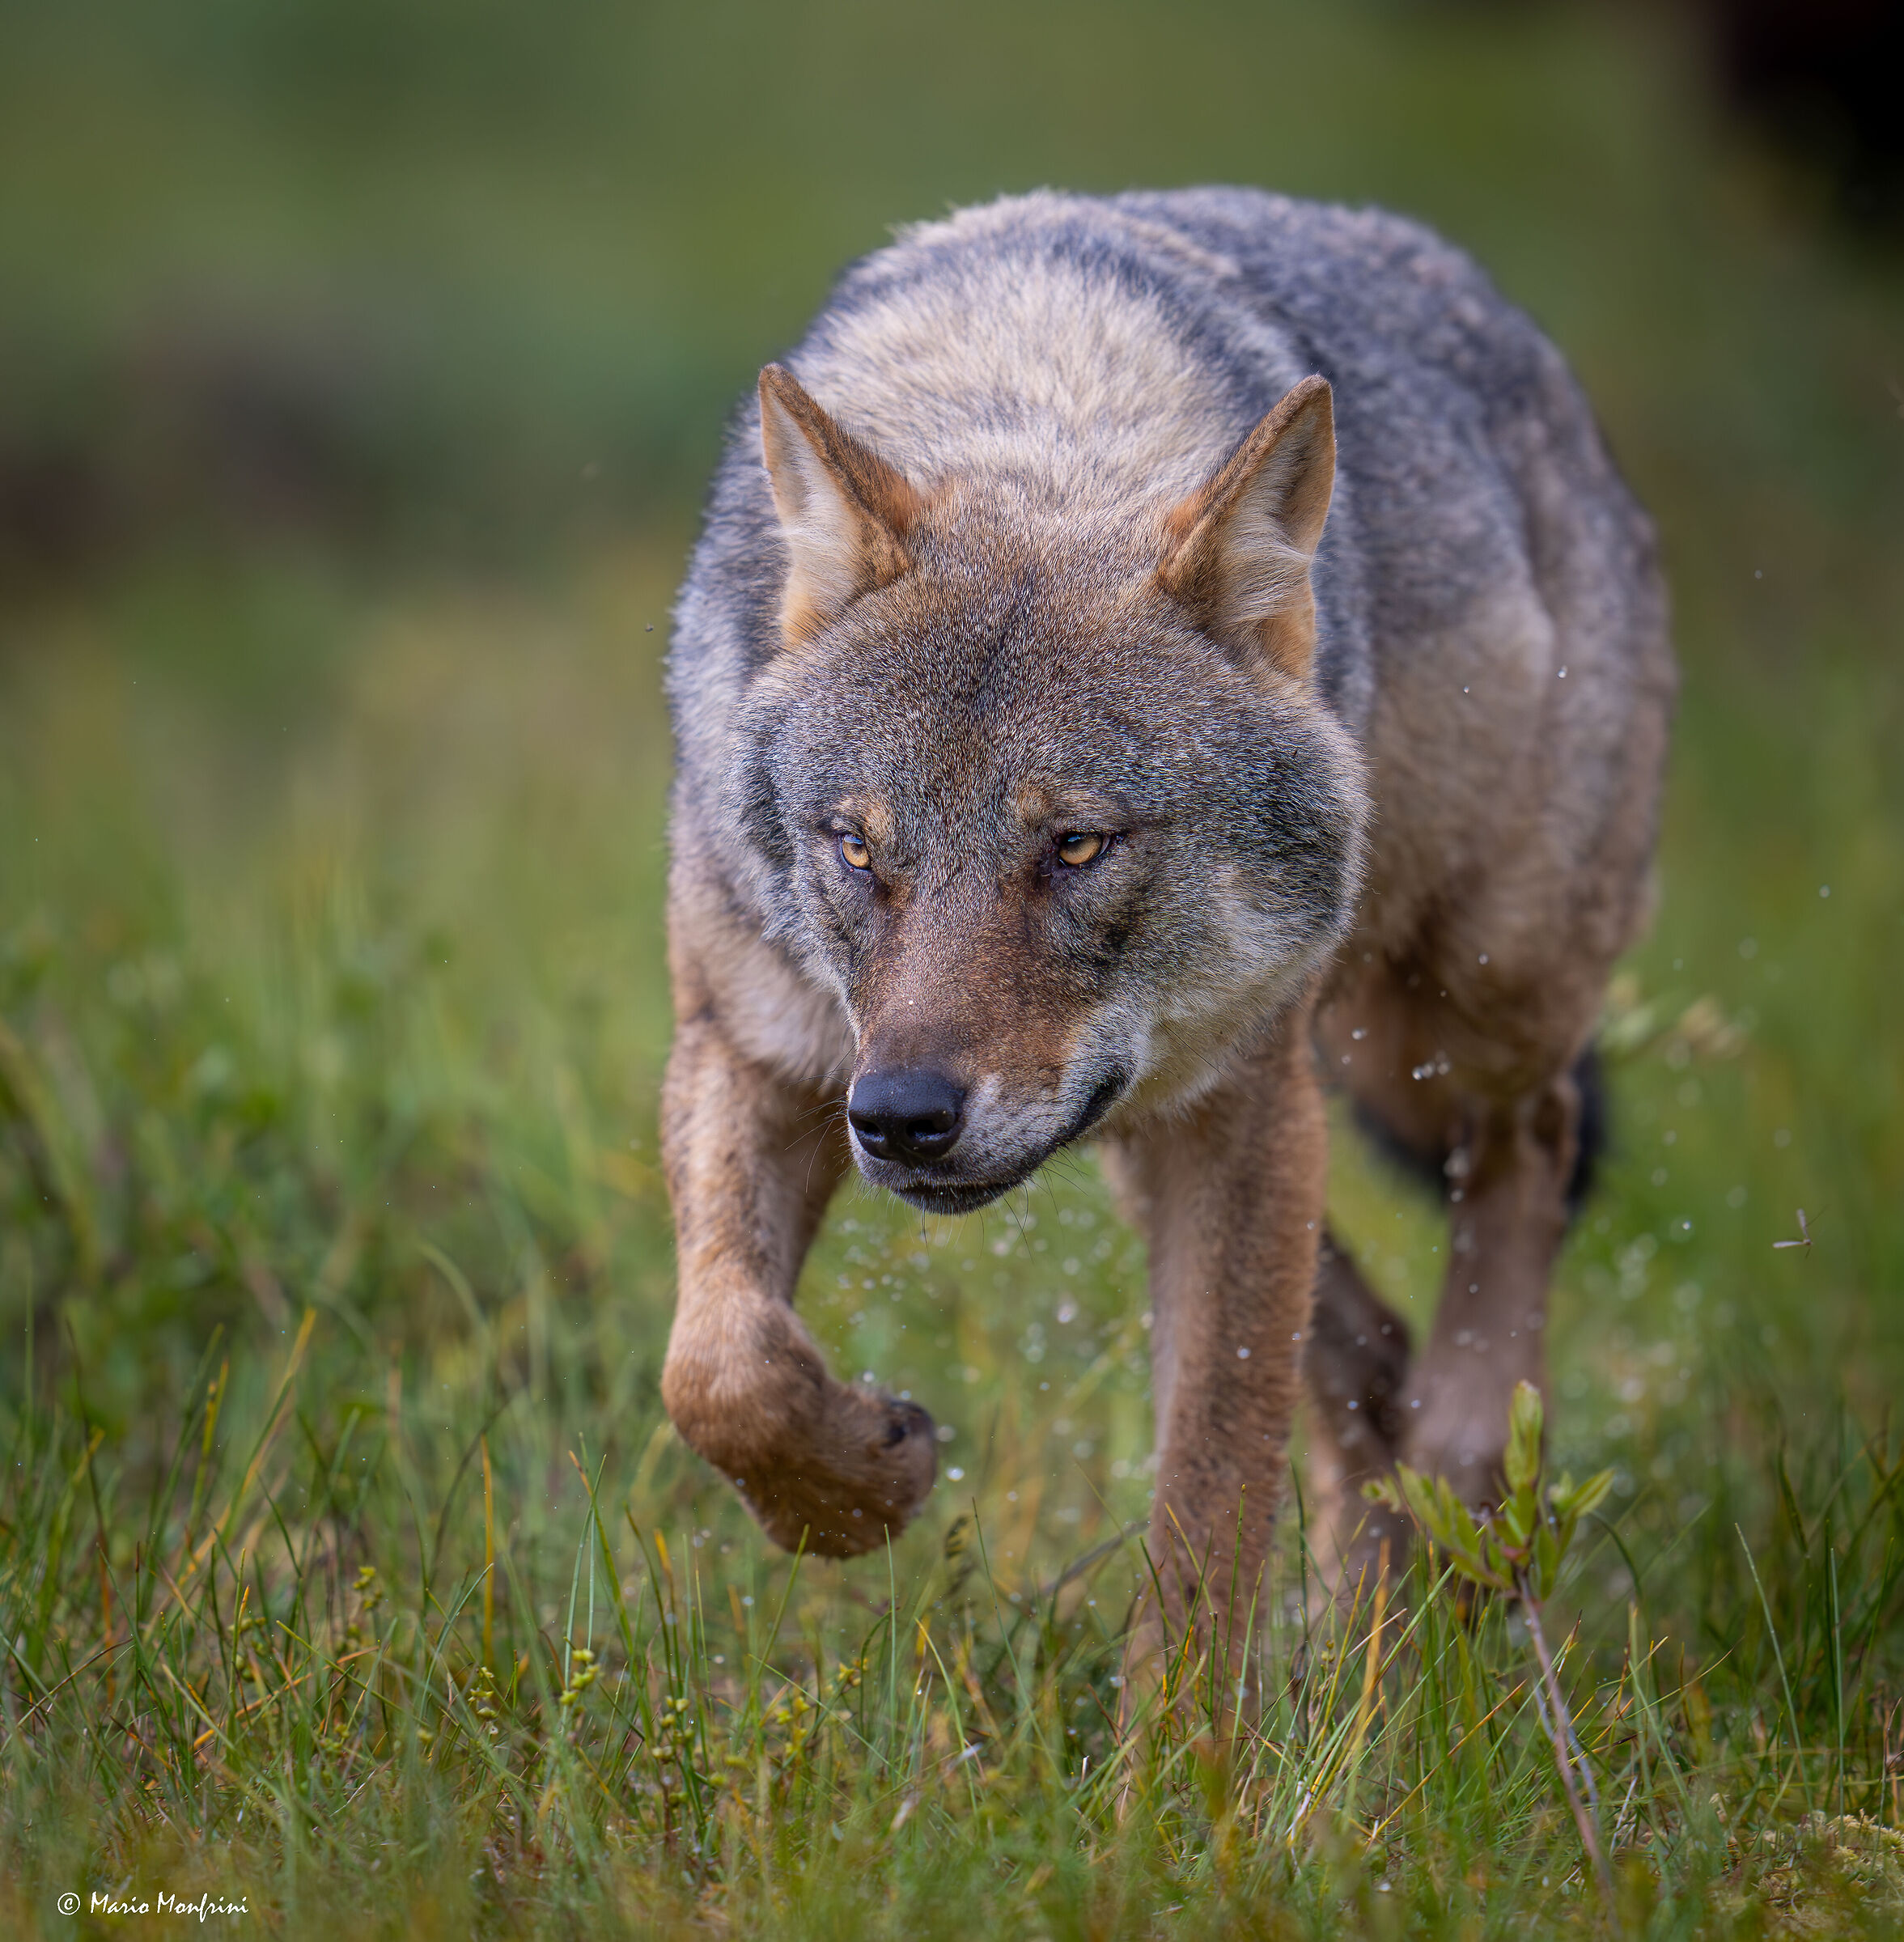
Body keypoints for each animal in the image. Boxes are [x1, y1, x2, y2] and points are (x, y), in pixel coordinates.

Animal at [659, 189, 1674, 1661]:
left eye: (1075, 846)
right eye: (854, 848)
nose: (900, 1119)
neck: (1037, 410)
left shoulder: (1239, 1114)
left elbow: (1202, 1520)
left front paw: (1185, 1738)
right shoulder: (757, 1046)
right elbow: (719, 1369)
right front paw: (858, 1492)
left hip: (1443, 1019)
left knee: (1525, 1151)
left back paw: (1467, 1482)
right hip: (1175, 1128)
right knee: (1366, 1357)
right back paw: (1377, 1616)